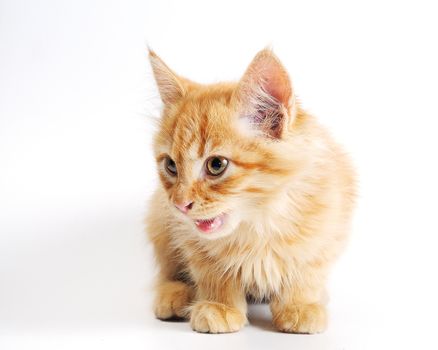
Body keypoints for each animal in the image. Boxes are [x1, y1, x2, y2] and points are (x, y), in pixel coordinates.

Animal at [146, 48, 356, 334]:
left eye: (216, 165)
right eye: (170, 165)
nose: (180, 204)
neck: (259, 223)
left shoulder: (327, 230)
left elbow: (306, 271)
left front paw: (300, 305)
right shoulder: (189, 238)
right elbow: (214, 271)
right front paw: (220, 306)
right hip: (159, 220)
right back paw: (174, 294)